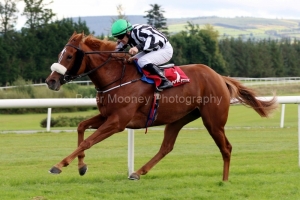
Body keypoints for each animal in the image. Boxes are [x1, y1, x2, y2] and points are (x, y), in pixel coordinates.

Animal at [45, 32, 278, 181]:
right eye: (60, 55)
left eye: (69, 56)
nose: (51, 81)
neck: (117, 77)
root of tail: (219, 76)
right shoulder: (107, 116)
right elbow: (81, 127)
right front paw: (81, 166)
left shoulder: (118, 122)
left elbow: (88, 141)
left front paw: (58, 165)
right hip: (179, 119)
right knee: (166, 147)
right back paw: (137, 172)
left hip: (213, 121)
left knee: (226, 148)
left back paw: (225, 180)